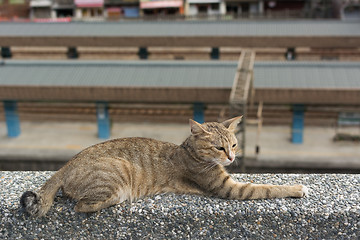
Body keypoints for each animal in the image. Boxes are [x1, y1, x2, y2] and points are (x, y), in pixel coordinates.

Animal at [19, 116, 308, 218]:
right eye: (219, 148)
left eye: (234, 145)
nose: (231, 158)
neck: (190, 151)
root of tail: (65, 166)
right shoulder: (229, 188)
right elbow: (268, 188)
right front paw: (297, 188)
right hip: (118, 172)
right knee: (83, 205)